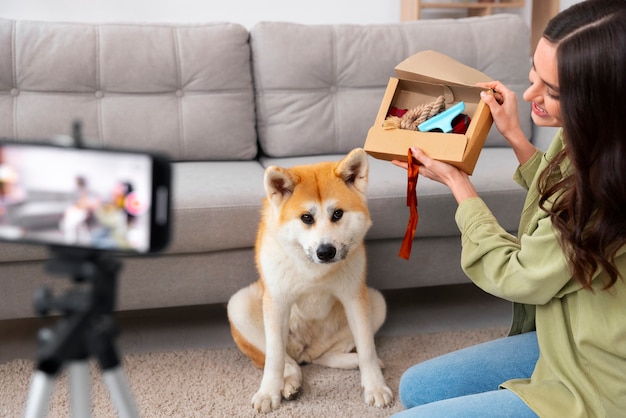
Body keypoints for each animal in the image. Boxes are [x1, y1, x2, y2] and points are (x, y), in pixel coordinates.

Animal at [224, 149, 390, 414]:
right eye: (306, 218)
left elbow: (367, 349)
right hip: (239, 305)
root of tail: (305, 349)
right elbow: (275, 359)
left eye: (337, 214)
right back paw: (290, 383)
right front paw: (268, 393)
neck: (313, 269)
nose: (326, 252)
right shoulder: (277, 303)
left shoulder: (354, 298)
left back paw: (349, 361)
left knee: (322, 356)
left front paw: (375, 386)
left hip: (376, 303)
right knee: (289, 361)